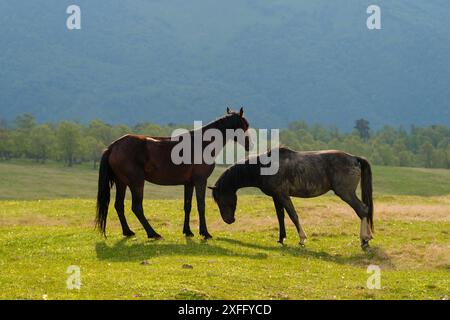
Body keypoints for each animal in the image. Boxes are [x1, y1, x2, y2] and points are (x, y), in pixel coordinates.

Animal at [96, 109, 251, 239]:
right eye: (245, 125)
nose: (250, 144)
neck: (202, 143)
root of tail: (113, 146)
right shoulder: (200, 180)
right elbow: (201, 205)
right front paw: (205, 232)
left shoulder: (189, 183)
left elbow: (187, 206)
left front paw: (188, 231)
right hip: (136, 183)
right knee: (137, 208)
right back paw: (153, 233)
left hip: (121, 183)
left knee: (119, 205)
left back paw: (128, 231)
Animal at [213, 148, 374, 250]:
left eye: (221, 200)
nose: (228, 220)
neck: (265, 167)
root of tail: (355, 158)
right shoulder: (276, 197)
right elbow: (280, 217)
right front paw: (281, 238)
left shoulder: (283, 195)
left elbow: (293, 215)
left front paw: (302, 239)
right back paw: (367, 238)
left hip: (346, 193)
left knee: (362, 210)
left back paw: (364, 240)